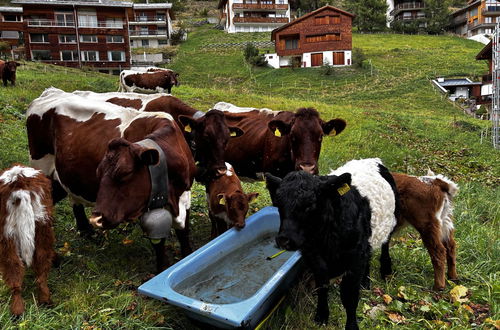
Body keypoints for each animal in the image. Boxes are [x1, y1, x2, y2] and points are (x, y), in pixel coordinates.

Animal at [0, 164, 56, 314]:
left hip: (7, 235)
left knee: (13, 269)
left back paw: (17, 312)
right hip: (42, 226)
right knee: (41, 266)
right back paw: (45, 302)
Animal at [26, 87, 196, 270]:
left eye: (126, 173)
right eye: (98, 173)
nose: (97, 219)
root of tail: (52, 92)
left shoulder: (185, 197)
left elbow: (184, 234)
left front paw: (187, 257)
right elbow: (159, 243)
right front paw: (162, 269)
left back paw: (87, 232)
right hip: (41, 167)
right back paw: (54, 257)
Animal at [266, 159, 398, 328]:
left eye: (310, 205)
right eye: (278, 204)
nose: (284, 239)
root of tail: (372, 160)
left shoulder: (354, 261)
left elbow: (349, 298)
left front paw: (351, 326)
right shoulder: (315, 261)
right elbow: (322, 287)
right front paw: (321, 316)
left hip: (392, 220)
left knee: (385, 244)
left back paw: (386, 270)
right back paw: (365, 282)